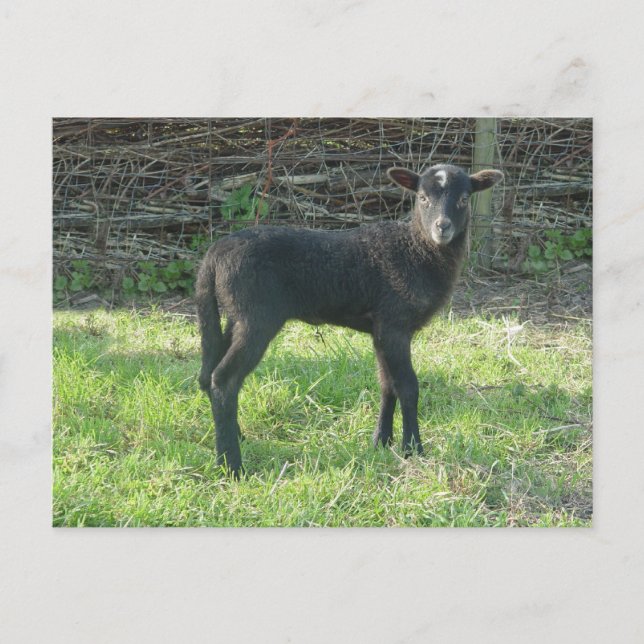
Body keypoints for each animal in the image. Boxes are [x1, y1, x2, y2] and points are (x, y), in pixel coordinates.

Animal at [196, 163, 503, 476]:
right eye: (422, 198)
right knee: (224, 379)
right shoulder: (395, 324)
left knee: (207, 375)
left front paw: (382, 441)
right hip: (257, 317)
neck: (417, 251)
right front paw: (413, 448)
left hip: (236, 316)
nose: (442, 227)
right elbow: (408, 386)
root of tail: (213, 256)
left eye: (464, 199)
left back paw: (237, 438)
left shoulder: (381, 329)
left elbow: (387, 384)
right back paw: (232, 465)